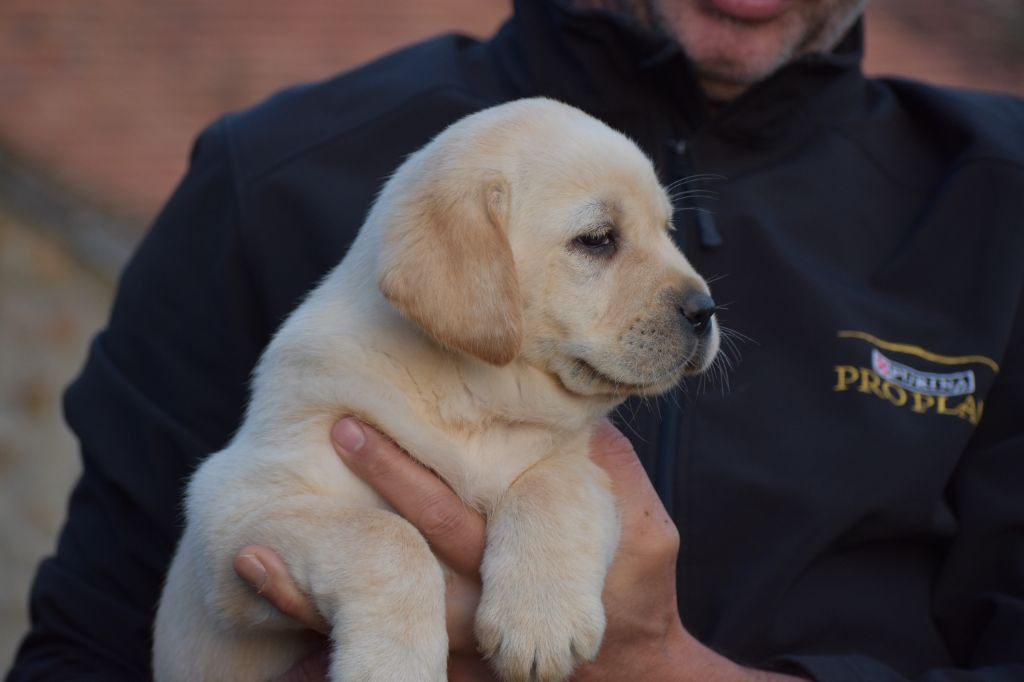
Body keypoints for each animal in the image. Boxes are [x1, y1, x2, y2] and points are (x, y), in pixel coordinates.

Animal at [153, 96, 720, 679]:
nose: (705, 311)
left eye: (667, 229)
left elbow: (550, 486)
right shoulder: (236, 510)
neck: (477, 399)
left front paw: (540, 622)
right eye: (598, 239)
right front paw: (393, 665)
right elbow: (385, 536)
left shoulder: (585, 465)